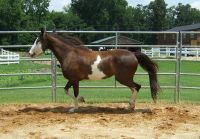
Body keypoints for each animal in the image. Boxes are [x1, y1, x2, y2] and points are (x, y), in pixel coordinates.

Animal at [28, 28, 159, 113]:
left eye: (38, 41)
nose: (30, 53)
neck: (69, 54)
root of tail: (133, 54)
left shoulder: (74, 80)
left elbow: (74, 93)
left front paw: (75, 108)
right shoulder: (73, 80)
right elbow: (66, 90)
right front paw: (81, 101)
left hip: (123, 78)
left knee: (136, 87)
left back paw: (130, 106)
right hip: (125, 78)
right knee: (135, 88)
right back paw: (130, 106)